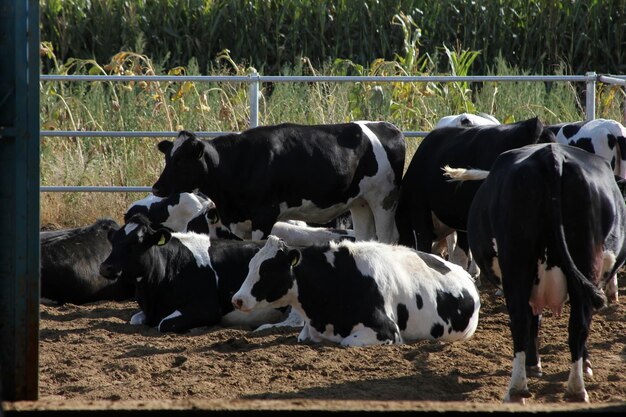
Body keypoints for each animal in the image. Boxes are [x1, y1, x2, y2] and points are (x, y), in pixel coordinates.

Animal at [98, 213, 284, 334]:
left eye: (136, 242)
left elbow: (164, 324)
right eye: (114, 241)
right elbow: (135, 320)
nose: (105, 267)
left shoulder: (206, 309)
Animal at [151, 120, 404, 242]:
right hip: (360, 201)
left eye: (181, 160)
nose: (156, 187)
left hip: (384, 198)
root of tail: (387, 127)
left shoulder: (264, 215)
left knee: (387, 237)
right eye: (168, 157)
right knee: (365, 236)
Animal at [444, 141, 624, 402]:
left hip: (519, 266)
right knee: (576, 323)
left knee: (525, 320)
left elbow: (534, 320)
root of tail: (552, 155)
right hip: (578, 263)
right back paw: (571, 387)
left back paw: (521, 386)